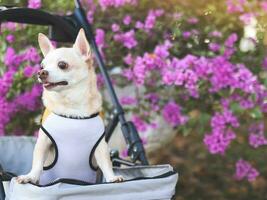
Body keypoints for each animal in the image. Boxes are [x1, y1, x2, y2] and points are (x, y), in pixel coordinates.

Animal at [14, 28, 123, 185]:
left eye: (62, 65)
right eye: (42, 66)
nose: (41, 73)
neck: (72, 105)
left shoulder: (101, 146)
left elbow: (106, 163)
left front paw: (111, 177)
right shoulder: (43, 142)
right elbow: (37, 163)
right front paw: (30, 177)